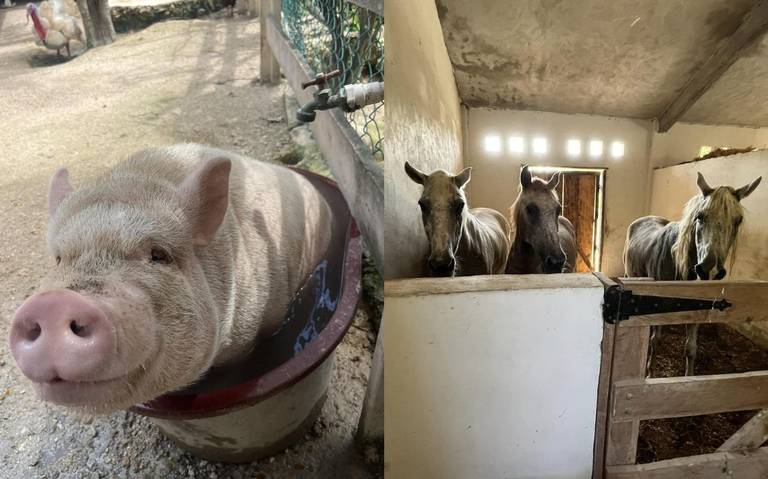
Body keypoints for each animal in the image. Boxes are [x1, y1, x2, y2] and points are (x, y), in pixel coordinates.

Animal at [624, 171, 760, 376]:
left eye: (738, 220)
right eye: (700, 217)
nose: (709, 270)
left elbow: (691, 348)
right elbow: (655, 341)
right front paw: (649, 373)